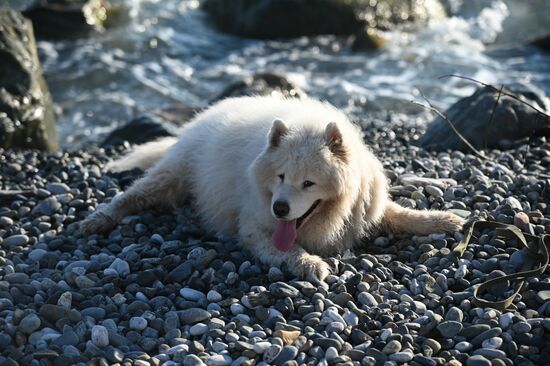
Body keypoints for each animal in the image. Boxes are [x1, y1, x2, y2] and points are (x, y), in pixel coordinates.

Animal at [80, 96, 464, 282]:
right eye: (280, 177)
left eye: (308, 183)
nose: (279, 208)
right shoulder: (253, 228)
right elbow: (286, 250)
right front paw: (309, 263)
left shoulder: (366, 207)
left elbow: (402, 214)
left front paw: (444, 220)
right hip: (173, 173)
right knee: (132, 195)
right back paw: (97, 220)